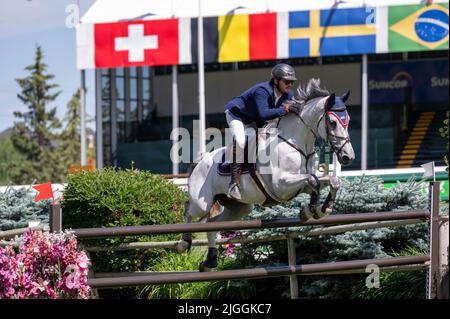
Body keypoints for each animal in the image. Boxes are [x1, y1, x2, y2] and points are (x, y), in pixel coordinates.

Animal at [174, 79, 354, 272]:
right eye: (332, 122)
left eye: (348, 121)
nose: (348, 157)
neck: (297, 143)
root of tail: (201, 161)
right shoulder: (281, 185)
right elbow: (313, 181)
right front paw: (312, 209)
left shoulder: (300, 183)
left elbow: (329, 181)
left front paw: (319, 210)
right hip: (202, 203)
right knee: (188, 209)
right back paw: (183, 244)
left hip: (239, 208)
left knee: (212, 224)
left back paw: (210, 261)